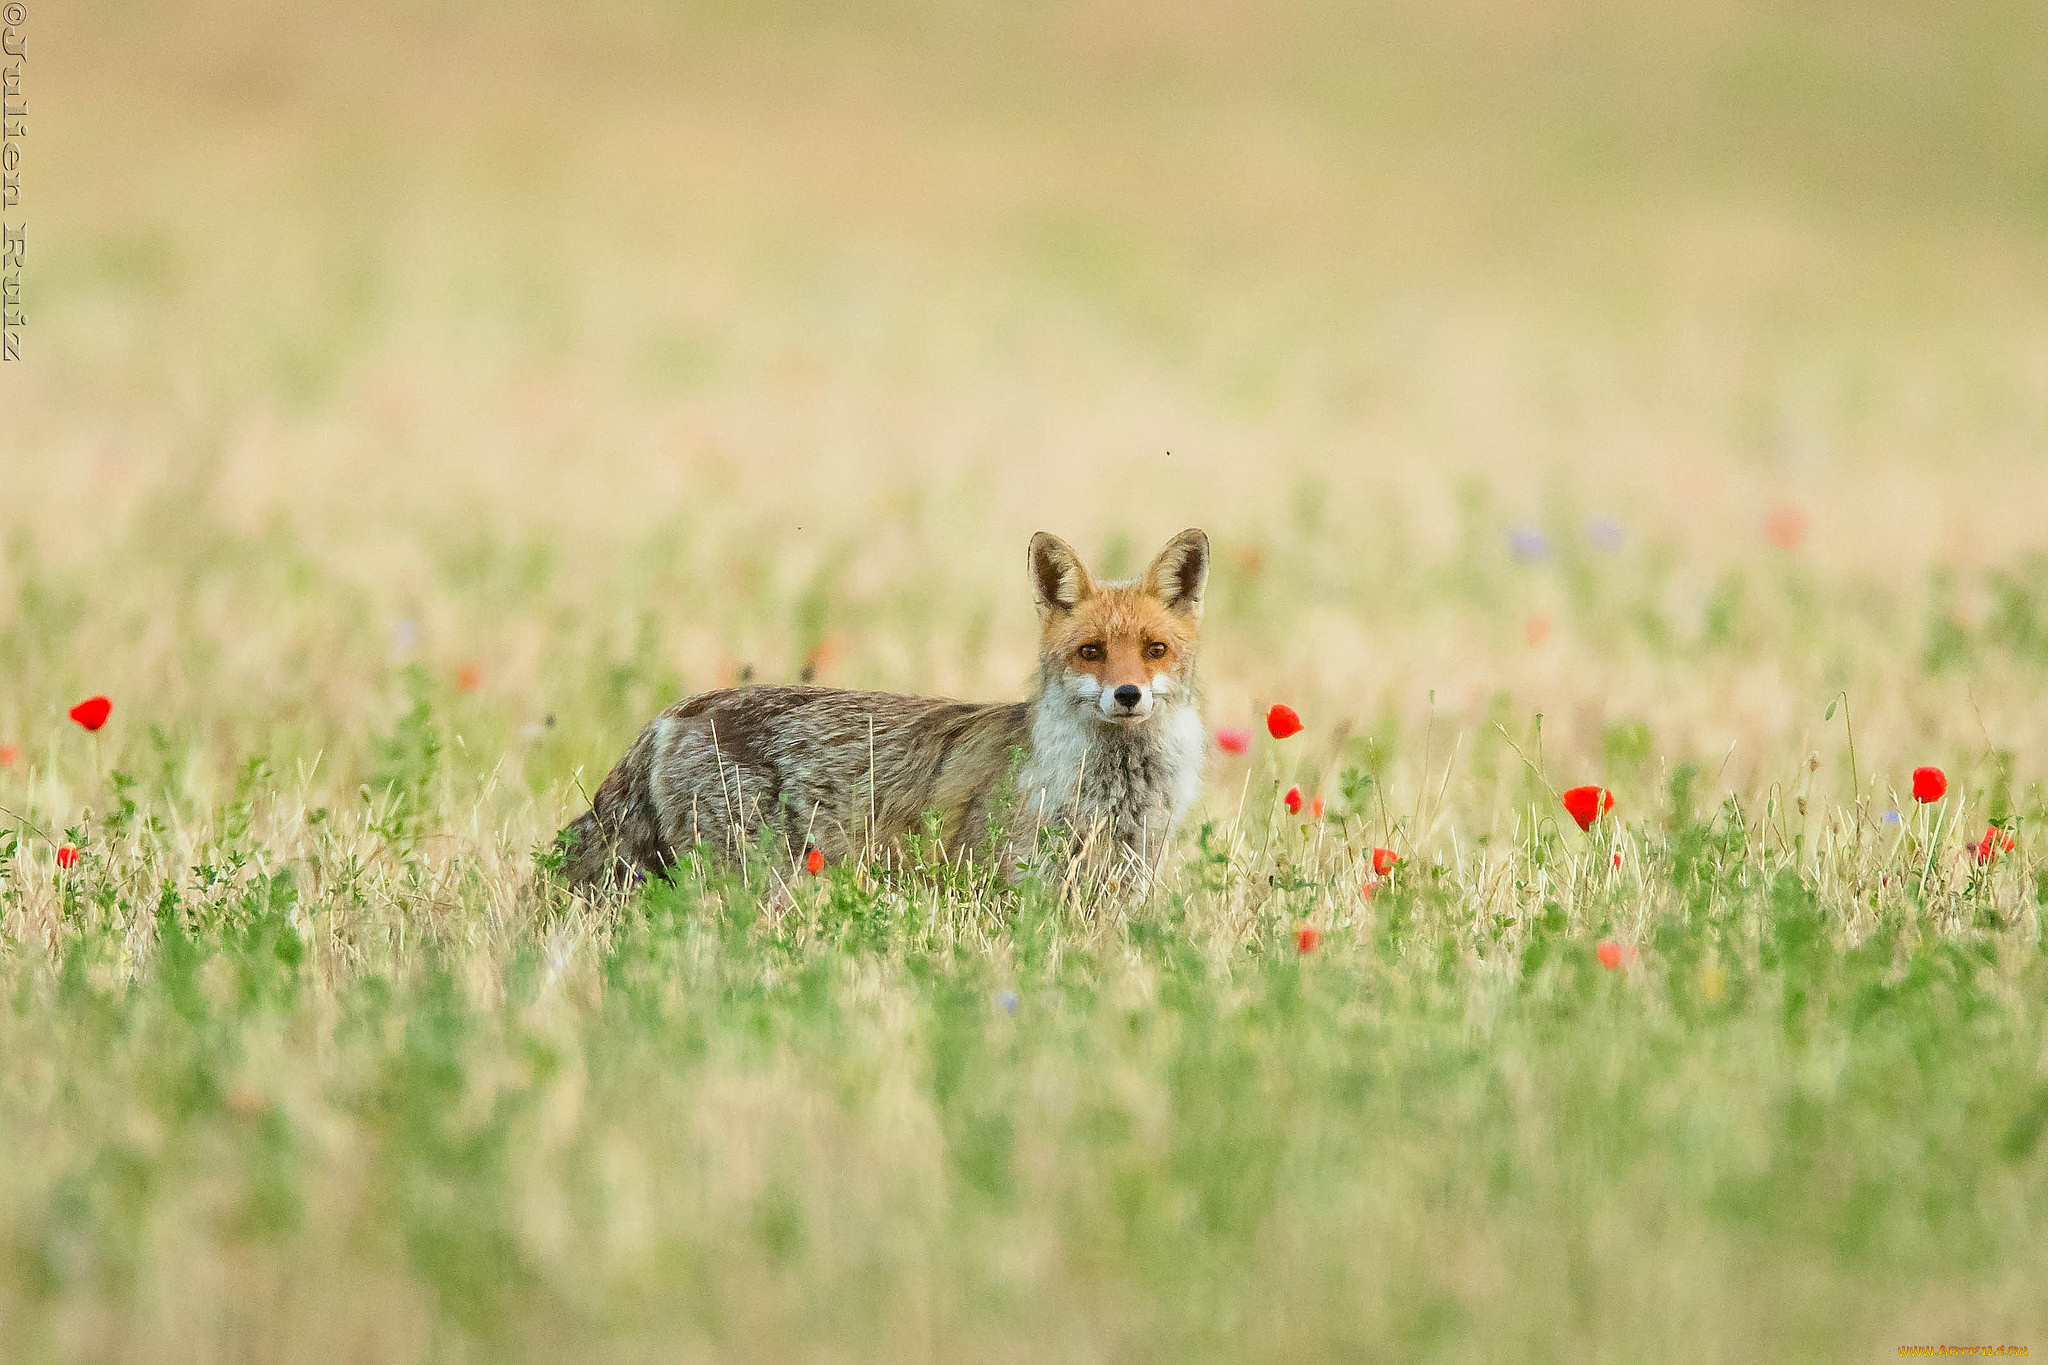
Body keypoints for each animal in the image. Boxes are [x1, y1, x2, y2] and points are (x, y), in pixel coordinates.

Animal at [552, 532, 1204, 896]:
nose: (1128, 694)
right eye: (1091, 651)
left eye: (1155, 650)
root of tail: (676, 712)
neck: (1112, 791)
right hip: (749, 881)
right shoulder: (1009, 880)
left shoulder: (1122, 885)